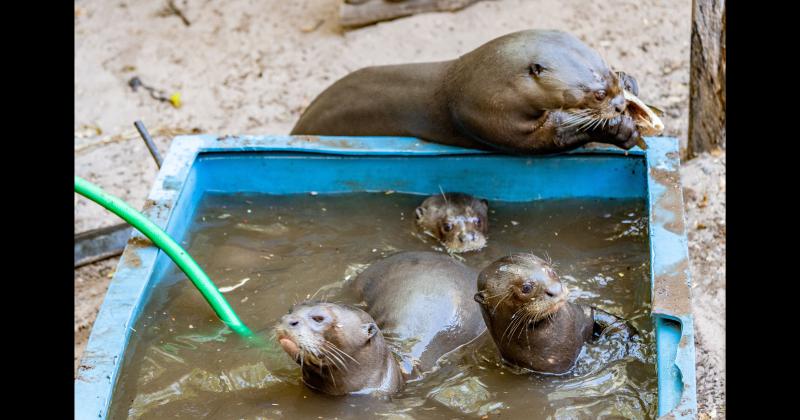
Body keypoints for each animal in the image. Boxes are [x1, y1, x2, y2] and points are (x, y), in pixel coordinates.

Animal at [290, 29, 648, 154]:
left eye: (609, 75)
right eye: (597, 94)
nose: (619, 104)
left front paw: (630, 82)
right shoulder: (489, 119)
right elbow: (552, 138)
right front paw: (617, 129)